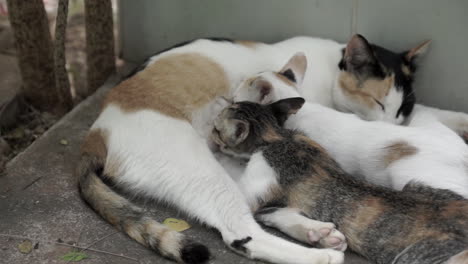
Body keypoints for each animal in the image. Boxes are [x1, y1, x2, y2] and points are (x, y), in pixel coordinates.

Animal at [211, 98, 468, 264]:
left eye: (215, 130)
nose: (219, 104)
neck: (278, 137)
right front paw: (318, 233)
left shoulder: (261, 175)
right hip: (418, 185)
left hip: (414, 256)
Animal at [234, 52, 468, 197]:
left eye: (236, 96)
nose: (233, 90)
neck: (302, 109)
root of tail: (462, 151)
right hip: (424, 120)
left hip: (416, 177)